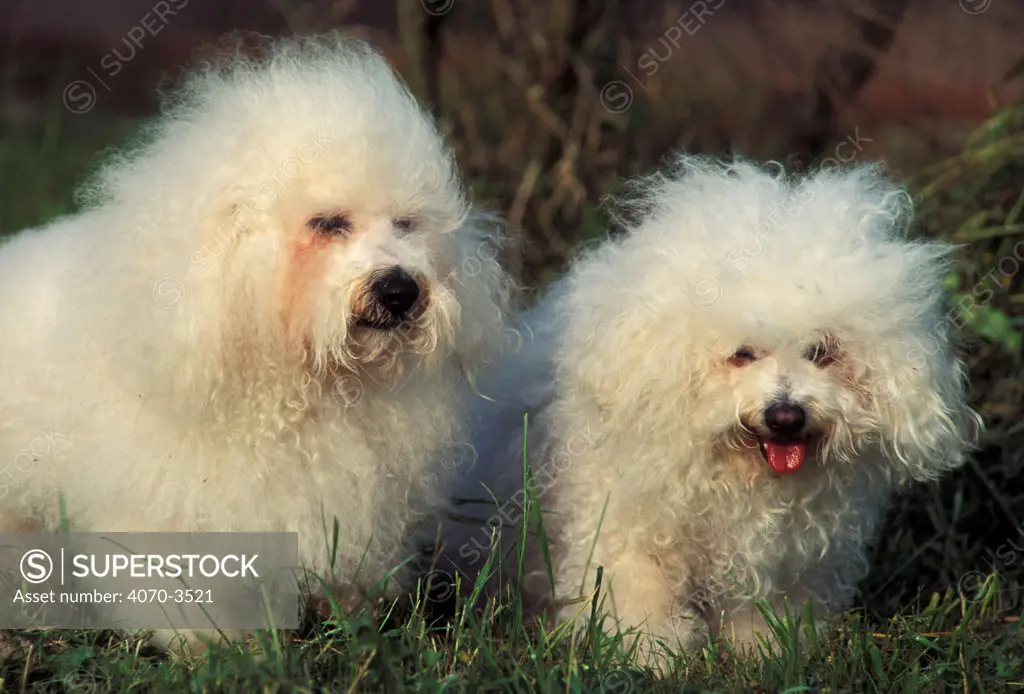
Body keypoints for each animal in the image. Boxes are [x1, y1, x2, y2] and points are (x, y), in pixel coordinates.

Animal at [442, 156, 983, 667]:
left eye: (821, 352)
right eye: (743, 354)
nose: (785, 415)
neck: (730, 474)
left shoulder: (781, 557)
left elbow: (764, 611)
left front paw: (769, 650)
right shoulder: (621, 530)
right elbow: (636, 594)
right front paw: (649, 654)